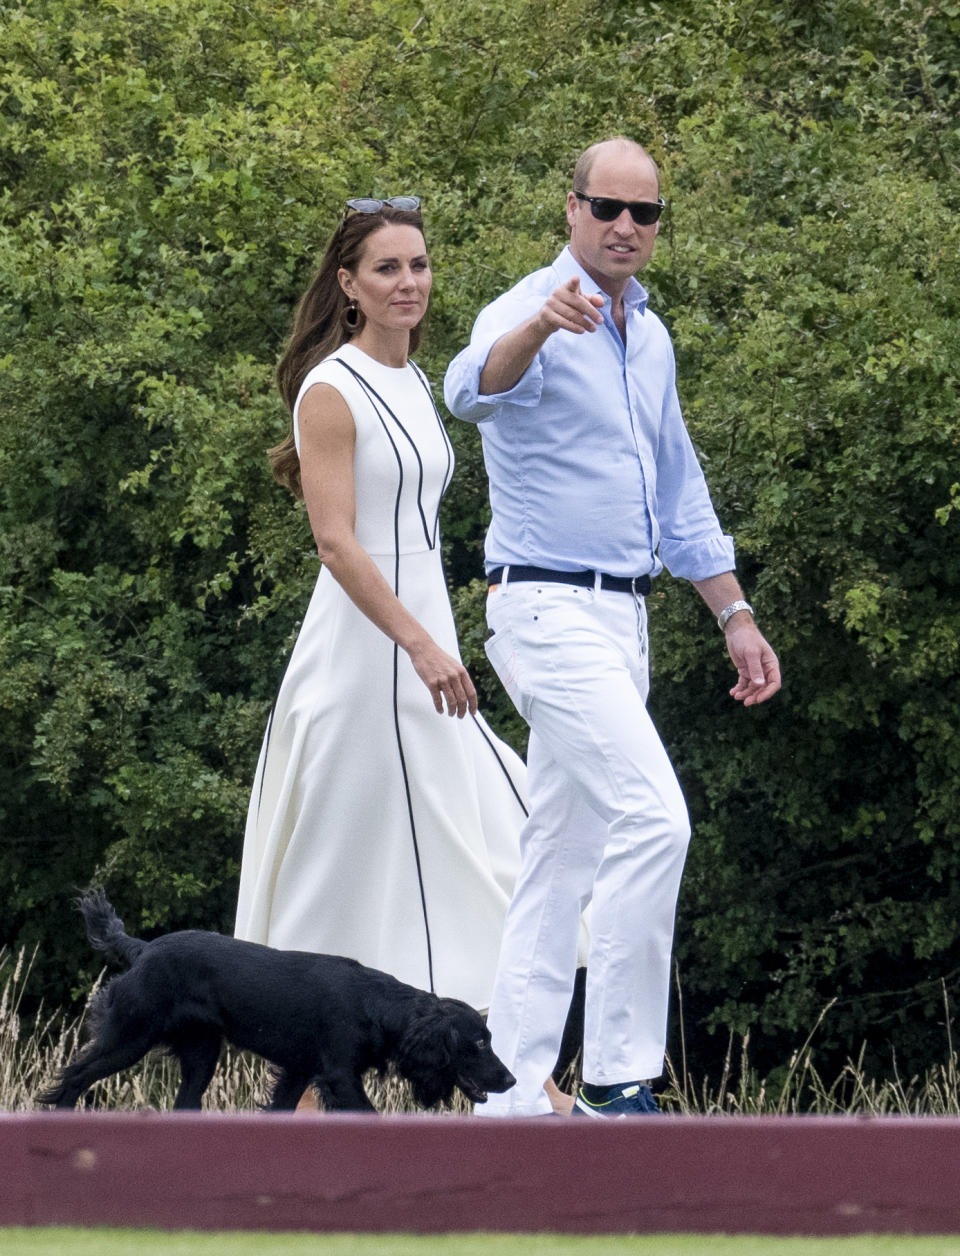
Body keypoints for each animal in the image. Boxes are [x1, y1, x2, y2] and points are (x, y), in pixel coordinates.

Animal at [38, 894, 517, 1110]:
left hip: (200, 1054)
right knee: (75, 1077)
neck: (377, 1007)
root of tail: (142, 949)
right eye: (479, 1042)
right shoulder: (339, 1075)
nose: (511, 1080)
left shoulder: (299, 1071)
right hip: (128, 1037)